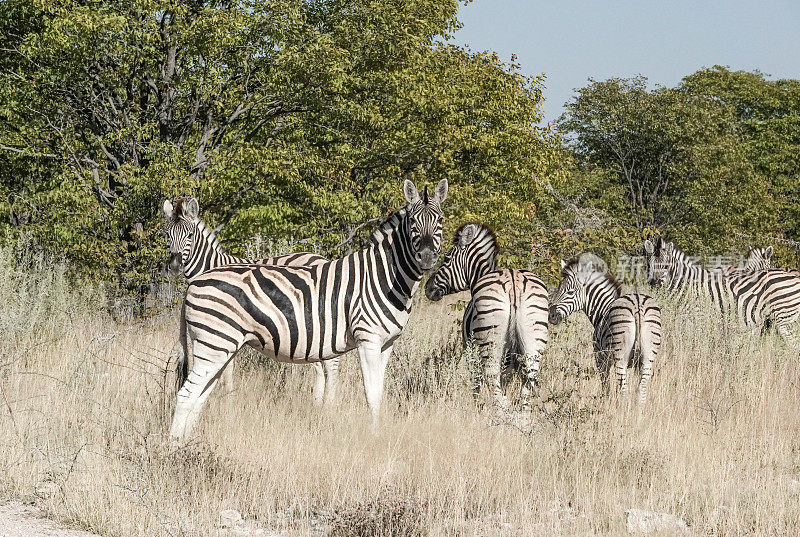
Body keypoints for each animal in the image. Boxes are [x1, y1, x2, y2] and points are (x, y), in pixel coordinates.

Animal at [162, 197, 338, 402]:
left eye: (190, 235)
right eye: (167, 235)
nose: (174, 267)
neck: (210, 266)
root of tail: (321, 257)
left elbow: (227, 366)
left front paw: (227, 395)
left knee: (331, 363)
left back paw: (329, 402)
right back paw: (317, 401)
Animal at [424, 221, 552, 406]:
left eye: (447, 259)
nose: (427, 288)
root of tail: (513, 283)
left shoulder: (470, 349)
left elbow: (476, 384)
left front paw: (477, 407)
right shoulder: (509, 359)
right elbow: (505, 380)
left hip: (489, 338)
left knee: (493, 382)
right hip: (534, 335)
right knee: (527, 384)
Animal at [552, 253, 664, 404]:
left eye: (570, 292)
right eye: (559, 288)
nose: (551, 315)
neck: (602, 309)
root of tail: (637, 306)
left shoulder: (601, 358)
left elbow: (606, 387)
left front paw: (605, 404)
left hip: (620, 355)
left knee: (624, 391)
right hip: (648, 355)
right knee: (642, 389)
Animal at [644, 238, 800, 342]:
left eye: (665, 266)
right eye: (649, 265)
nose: (654, 285)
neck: (687, 287)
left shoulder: (697, 319)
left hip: (785, 321)